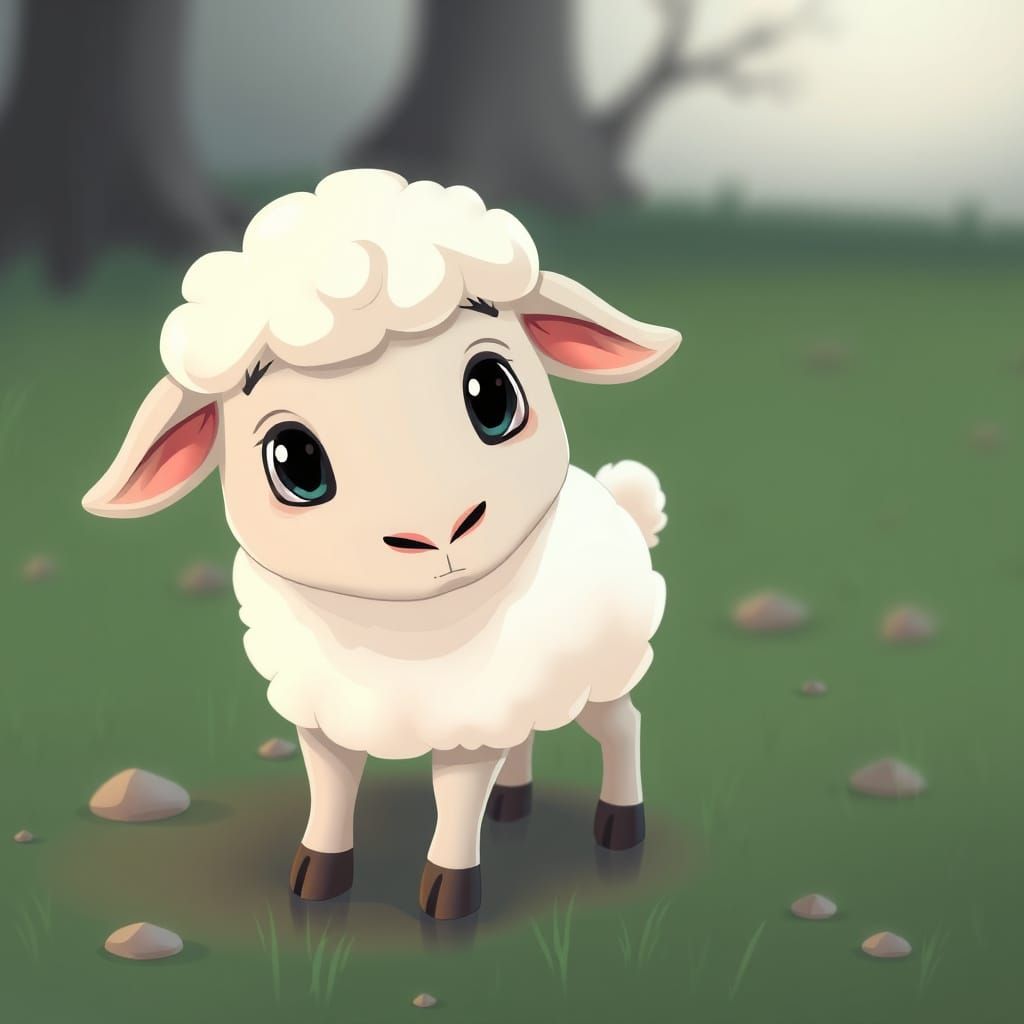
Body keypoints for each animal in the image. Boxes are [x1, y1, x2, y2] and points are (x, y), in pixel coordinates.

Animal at [82, 169, 681, 920]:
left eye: (492, 396)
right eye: (295, 462)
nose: (438, 532)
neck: (398, 634)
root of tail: (619, 497)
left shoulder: (469, 716)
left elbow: (455, 799)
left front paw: (449, 895)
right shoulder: (328, 713)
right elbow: (331, 789)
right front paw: (316, 877)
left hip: (602, 668)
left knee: (622, 728)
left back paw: (620, 825)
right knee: (530, 737)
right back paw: (513, 805)